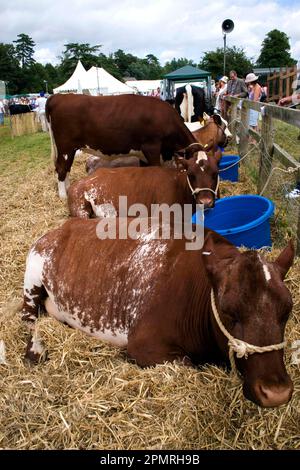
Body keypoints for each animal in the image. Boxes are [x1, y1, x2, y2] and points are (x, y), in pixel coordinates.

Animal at [45, 93, 197, 198]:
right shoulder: (151, 147)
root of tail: (59, 96)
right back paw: (63, 196)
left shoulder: (143, 154)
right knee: (61, 168)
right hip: (66, 147)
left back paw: (68, 190)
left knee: (66, 168)